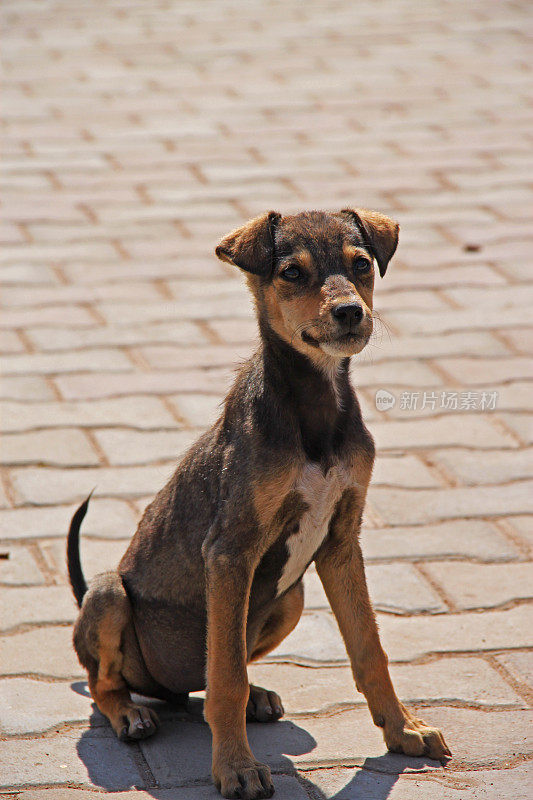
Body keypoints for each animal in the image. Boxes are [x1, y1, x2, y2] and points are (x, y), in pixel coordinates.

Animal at [67, 208, 448, 800]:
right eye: (292, 273)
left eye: (362, 264)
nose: (350, 312)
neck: (314, 410)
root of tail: (162, 690)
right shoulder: (230, 553)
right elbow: (227, 677)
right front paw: (236, 767)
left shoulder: (341, 543)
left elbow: (368, 648)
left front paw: (403, 728)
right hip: (109, 595)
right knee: (110, 679)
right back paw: (130, 713)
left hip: (290, 597)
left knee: (206, 681)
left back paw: (257, 699)